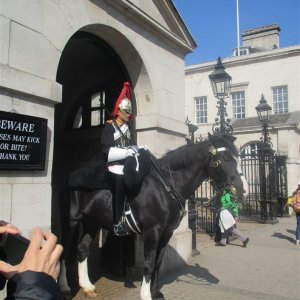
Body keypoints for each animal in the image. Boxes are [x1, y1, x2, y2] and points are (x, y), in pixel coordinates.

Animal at [59, 134, 247, 300]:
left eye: (238, 157)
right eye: (225, 158)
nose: (242, 190)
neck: (166, 187)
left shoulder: (166, 232)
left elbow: (158, 262)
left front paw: (156, 292)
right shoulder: (152, 232)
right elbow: (149, 264)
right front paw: (146, 295)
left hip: (92, 222)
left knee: (82, 249)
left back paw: (87, 287)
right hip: (73, 221)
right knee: (65, 249)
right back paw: (65, 287)